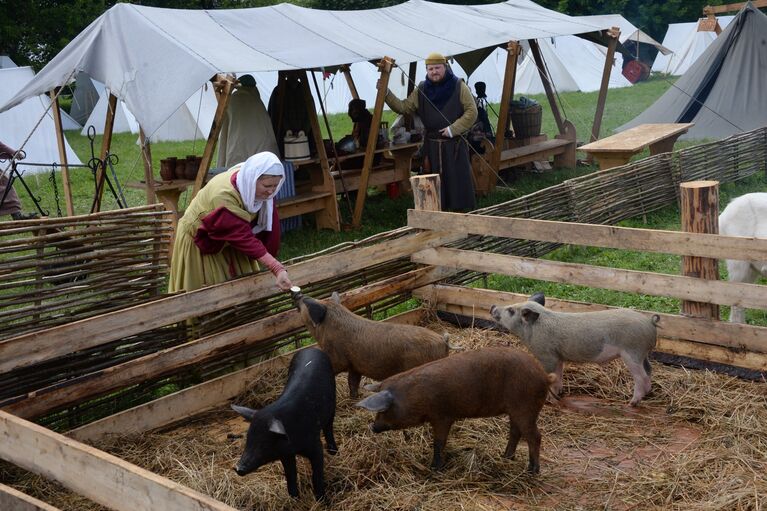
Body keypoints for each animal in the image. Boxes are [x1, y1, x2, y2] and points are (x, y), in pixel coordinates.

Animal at [294, 292, 450, 400]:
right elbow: (352, 382)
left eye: (306, 304)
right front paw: (354, 398)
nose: (299, 295)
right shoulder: (354, 366)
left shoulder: (338, 358)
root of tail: (443, 340)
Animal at [354, 348, 552, 472]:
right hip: (515, 410)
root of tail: (545, 376)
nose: (373, 427)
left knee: (535, 436)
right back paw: (505, 457)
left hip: (525, 408)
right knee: (515, 432)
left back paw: (532, 470)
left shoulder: (442, 416)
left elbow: (438, 442)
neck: (414, 397)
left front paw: (434, 468)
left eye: (383, 410)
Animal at [492, 294, 660, 406]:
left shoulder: (547, 356)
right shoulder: (558, 357)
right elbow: (559, 375)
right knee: (648, 370)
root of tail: (650, 322)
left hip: (632, 352)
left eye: (511, 311)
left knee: (641, 377)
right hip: (642, 354)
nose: (493, 307)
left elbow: (551, 376)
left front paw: (549, 401)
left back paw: (632, 403)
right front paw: (559, 393)